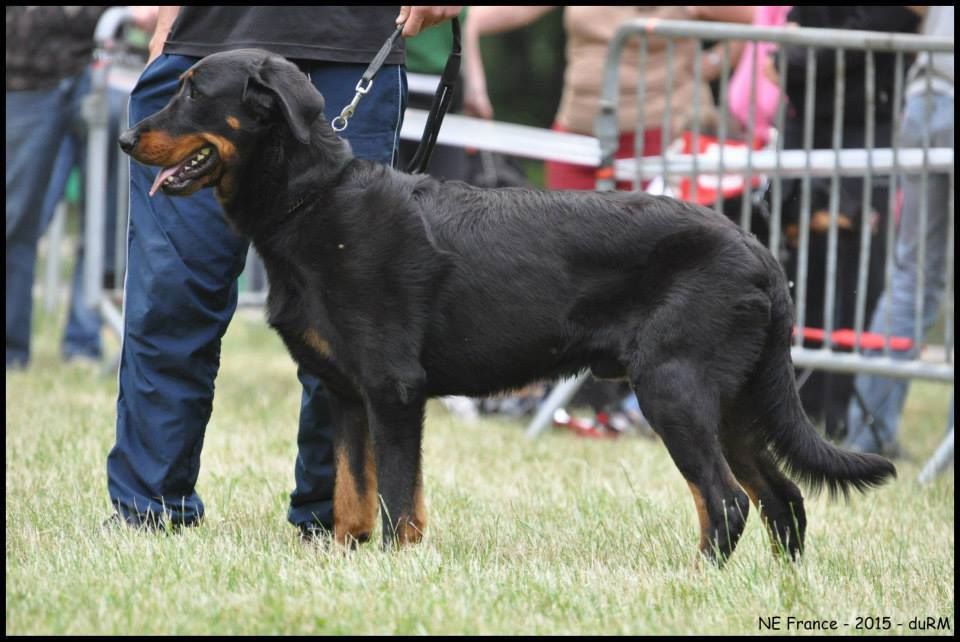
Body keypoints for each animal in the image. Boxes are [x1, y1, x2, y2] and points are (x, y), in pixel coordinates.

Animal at [118, 48, 892, 560]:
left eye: (193, 90)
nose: (126, 137)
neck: (314, 203)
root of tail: (759, 250)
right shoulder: (344, 392)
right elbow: (351, 495)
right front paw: (347, 559)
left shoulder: (393, 390)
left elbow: (396, 496)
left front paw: (394, 566)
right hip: (732, 402)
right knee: (782, 500)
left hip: (676, 387)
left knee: (725, 502)